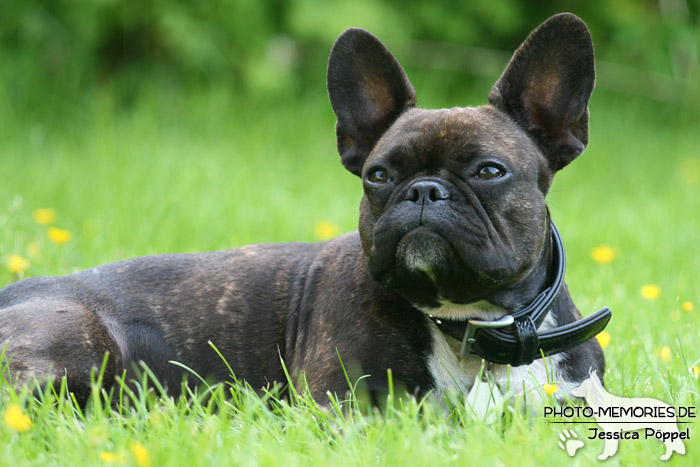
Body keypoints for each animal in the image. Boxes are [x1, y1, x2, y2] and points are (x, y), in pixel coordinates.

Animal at [0, 13, 608, 410]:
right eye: (378, 176)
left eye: (488, 171)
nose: (424, 191)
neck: (470, 322)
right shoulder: (342, 406)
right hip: (77, 345)